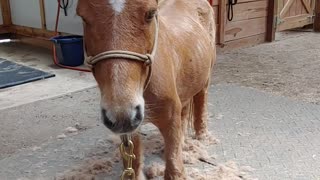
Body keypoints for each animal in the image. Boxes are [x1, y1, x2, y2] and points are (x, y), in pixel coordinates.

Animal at [76, 0, 216, 179]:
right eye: (83, 17)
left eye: (150, 14)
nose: (121, 114)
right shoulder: (131, 130)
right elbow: (134, 164)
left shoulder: (170, 120)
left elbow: (174, 167)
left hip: (205, 78)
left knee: (201, 100)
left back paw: (201, 136)